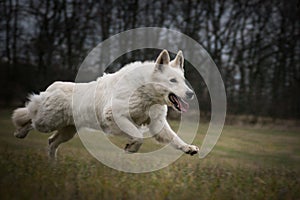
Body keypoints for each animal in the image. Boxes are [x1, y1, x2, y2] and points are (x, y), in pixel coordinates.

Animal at [11, 50, 199, 158]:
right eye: (172, 80)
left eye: (183, 80)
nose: (190, 94)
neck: (145, 92)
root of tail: (52, 87)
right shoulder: (115, 116)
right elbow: (138, 135)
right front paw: (131, 148)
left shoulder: (157, 124)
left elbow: (174, 138)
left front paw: (188, 148)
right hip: (47, 122)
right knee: (30, 117)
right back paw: (20, 132)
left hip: (67, 131)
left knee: (51, 142)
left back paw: (53, 167)